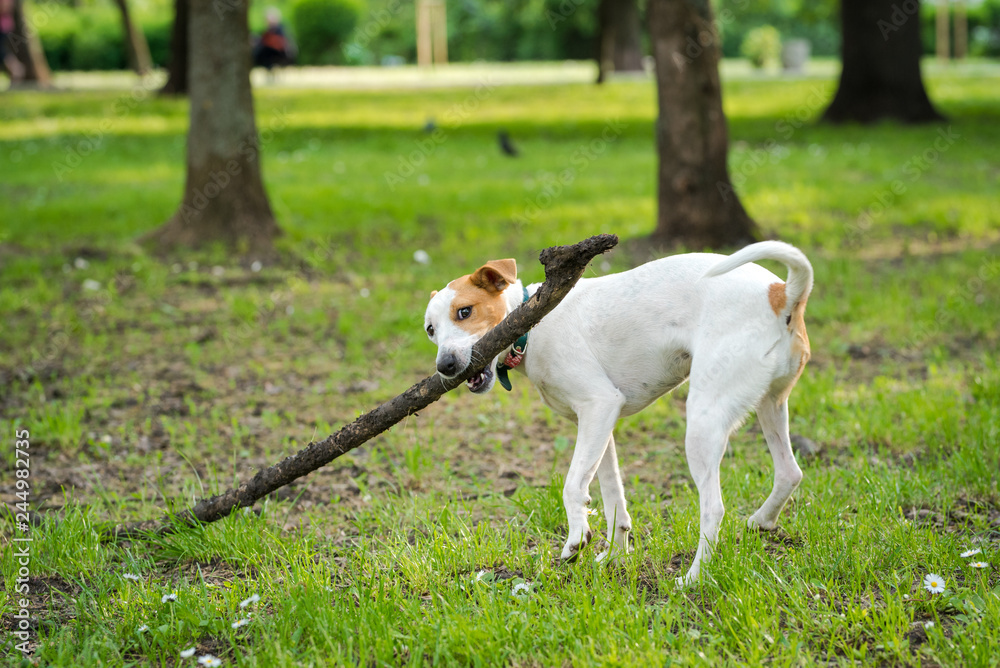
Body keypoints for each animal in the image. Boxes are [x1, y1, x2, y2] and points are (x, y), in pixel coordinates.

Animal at [422, 240, 812, 584]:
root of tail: (781, 292)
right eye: (430, 330)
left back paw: (693, 578)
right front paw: (614, 554)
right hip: (770, 406)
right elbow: (611, 497)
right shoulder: (599, 423)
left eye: (465, 312)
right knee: (789, 472)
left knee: (713, 508)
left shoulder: (599, 405)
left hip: (703, 421)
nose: (445, 366)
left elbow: (571, 486)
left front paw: (576, 538)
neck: (531, 326)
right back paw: (761, 521)